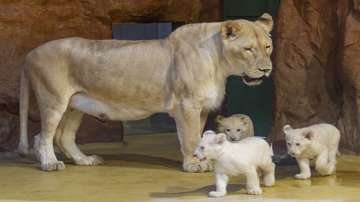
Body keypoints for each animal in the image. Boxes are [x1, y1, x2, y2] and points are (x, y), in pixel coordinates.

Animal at [17, 13, 272, 171]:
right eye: (248, 49)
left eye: (267, 47)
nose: (267, 69)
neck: (219, 62)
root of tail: (30, 53)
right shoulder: (187, 104)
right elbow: (190, 137)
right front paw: (193, 165)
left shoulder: (200, 108)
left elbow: (198, 135)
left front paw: (201, 160)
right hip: (53, 100)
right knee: (44, 136)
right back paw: (50, 164)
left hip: (75, 104)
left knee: (63, 136)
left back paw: (85, 160)